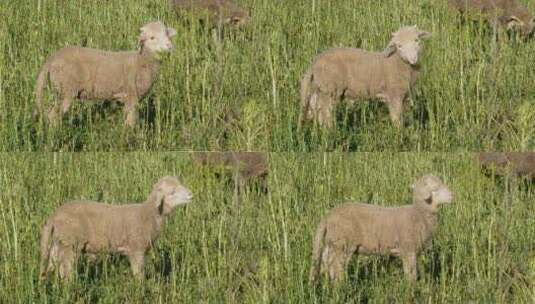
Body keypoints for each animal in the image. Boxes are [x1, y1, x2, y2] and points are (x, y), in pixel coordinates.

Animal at [35, 21, 178, 126]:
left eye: (167, 34)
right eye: (152, 38)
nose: (169, 46)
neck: (142, 60)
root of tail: (52, 58)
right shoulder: (132, 96)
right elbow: (130, 123)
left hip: (59, 91)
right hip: (66, 90)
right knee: (52, 115)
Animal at [40, 177, 195, 282]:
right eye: (172, 192)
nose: (191, 195)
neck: (149, 214)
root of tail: (54, 216)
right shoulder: (136, 249)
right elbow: (138, 274)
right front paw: (140, 289)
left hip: (59, 242)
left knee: (52, 264)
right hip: (70, 244)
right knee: (65, 270)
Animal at [300, 25, 434, 128]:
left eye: (417, 40)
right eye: (399, 46)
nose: (413, 59)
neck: (397, 62)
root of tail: (315, 62)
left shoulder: (405, 96)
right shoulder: (394, 95)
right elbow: (396, 119)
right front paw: (399, 135)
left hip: (321, 87)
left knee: (314, 104)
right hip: (331, 88)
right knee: (325, 111)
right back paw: (329, 131)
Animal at [310, 175, 452, 284]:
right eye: (436, 189)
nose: (453, 195)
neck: (418, 214)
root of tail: (328, 216)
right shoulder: (408, 249)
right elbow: (410, 274)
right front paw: (411, 289)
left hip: (333, 242)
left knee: (326, 260)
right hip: (343, 243)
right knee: (336, 266)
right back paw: (340, 285)